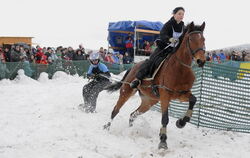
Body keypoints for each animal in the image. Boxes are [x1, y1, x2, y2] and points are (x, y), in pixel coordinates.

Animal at [103, 21, 205, 149]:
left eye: (203, 39)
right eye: (191, 39)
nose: (201, 61)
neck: (180, 68)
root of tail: (133, 67)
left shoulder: (182, 94)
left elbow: (193, 100)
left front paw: (181, 122)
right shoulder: (165, 95)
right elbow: (165, 118)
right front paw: (163, 140)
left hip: (149, 101)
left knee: (133, 114)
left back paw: (130, 130)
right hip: (126, 92)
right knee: (115, 110)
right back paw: (107, 127)